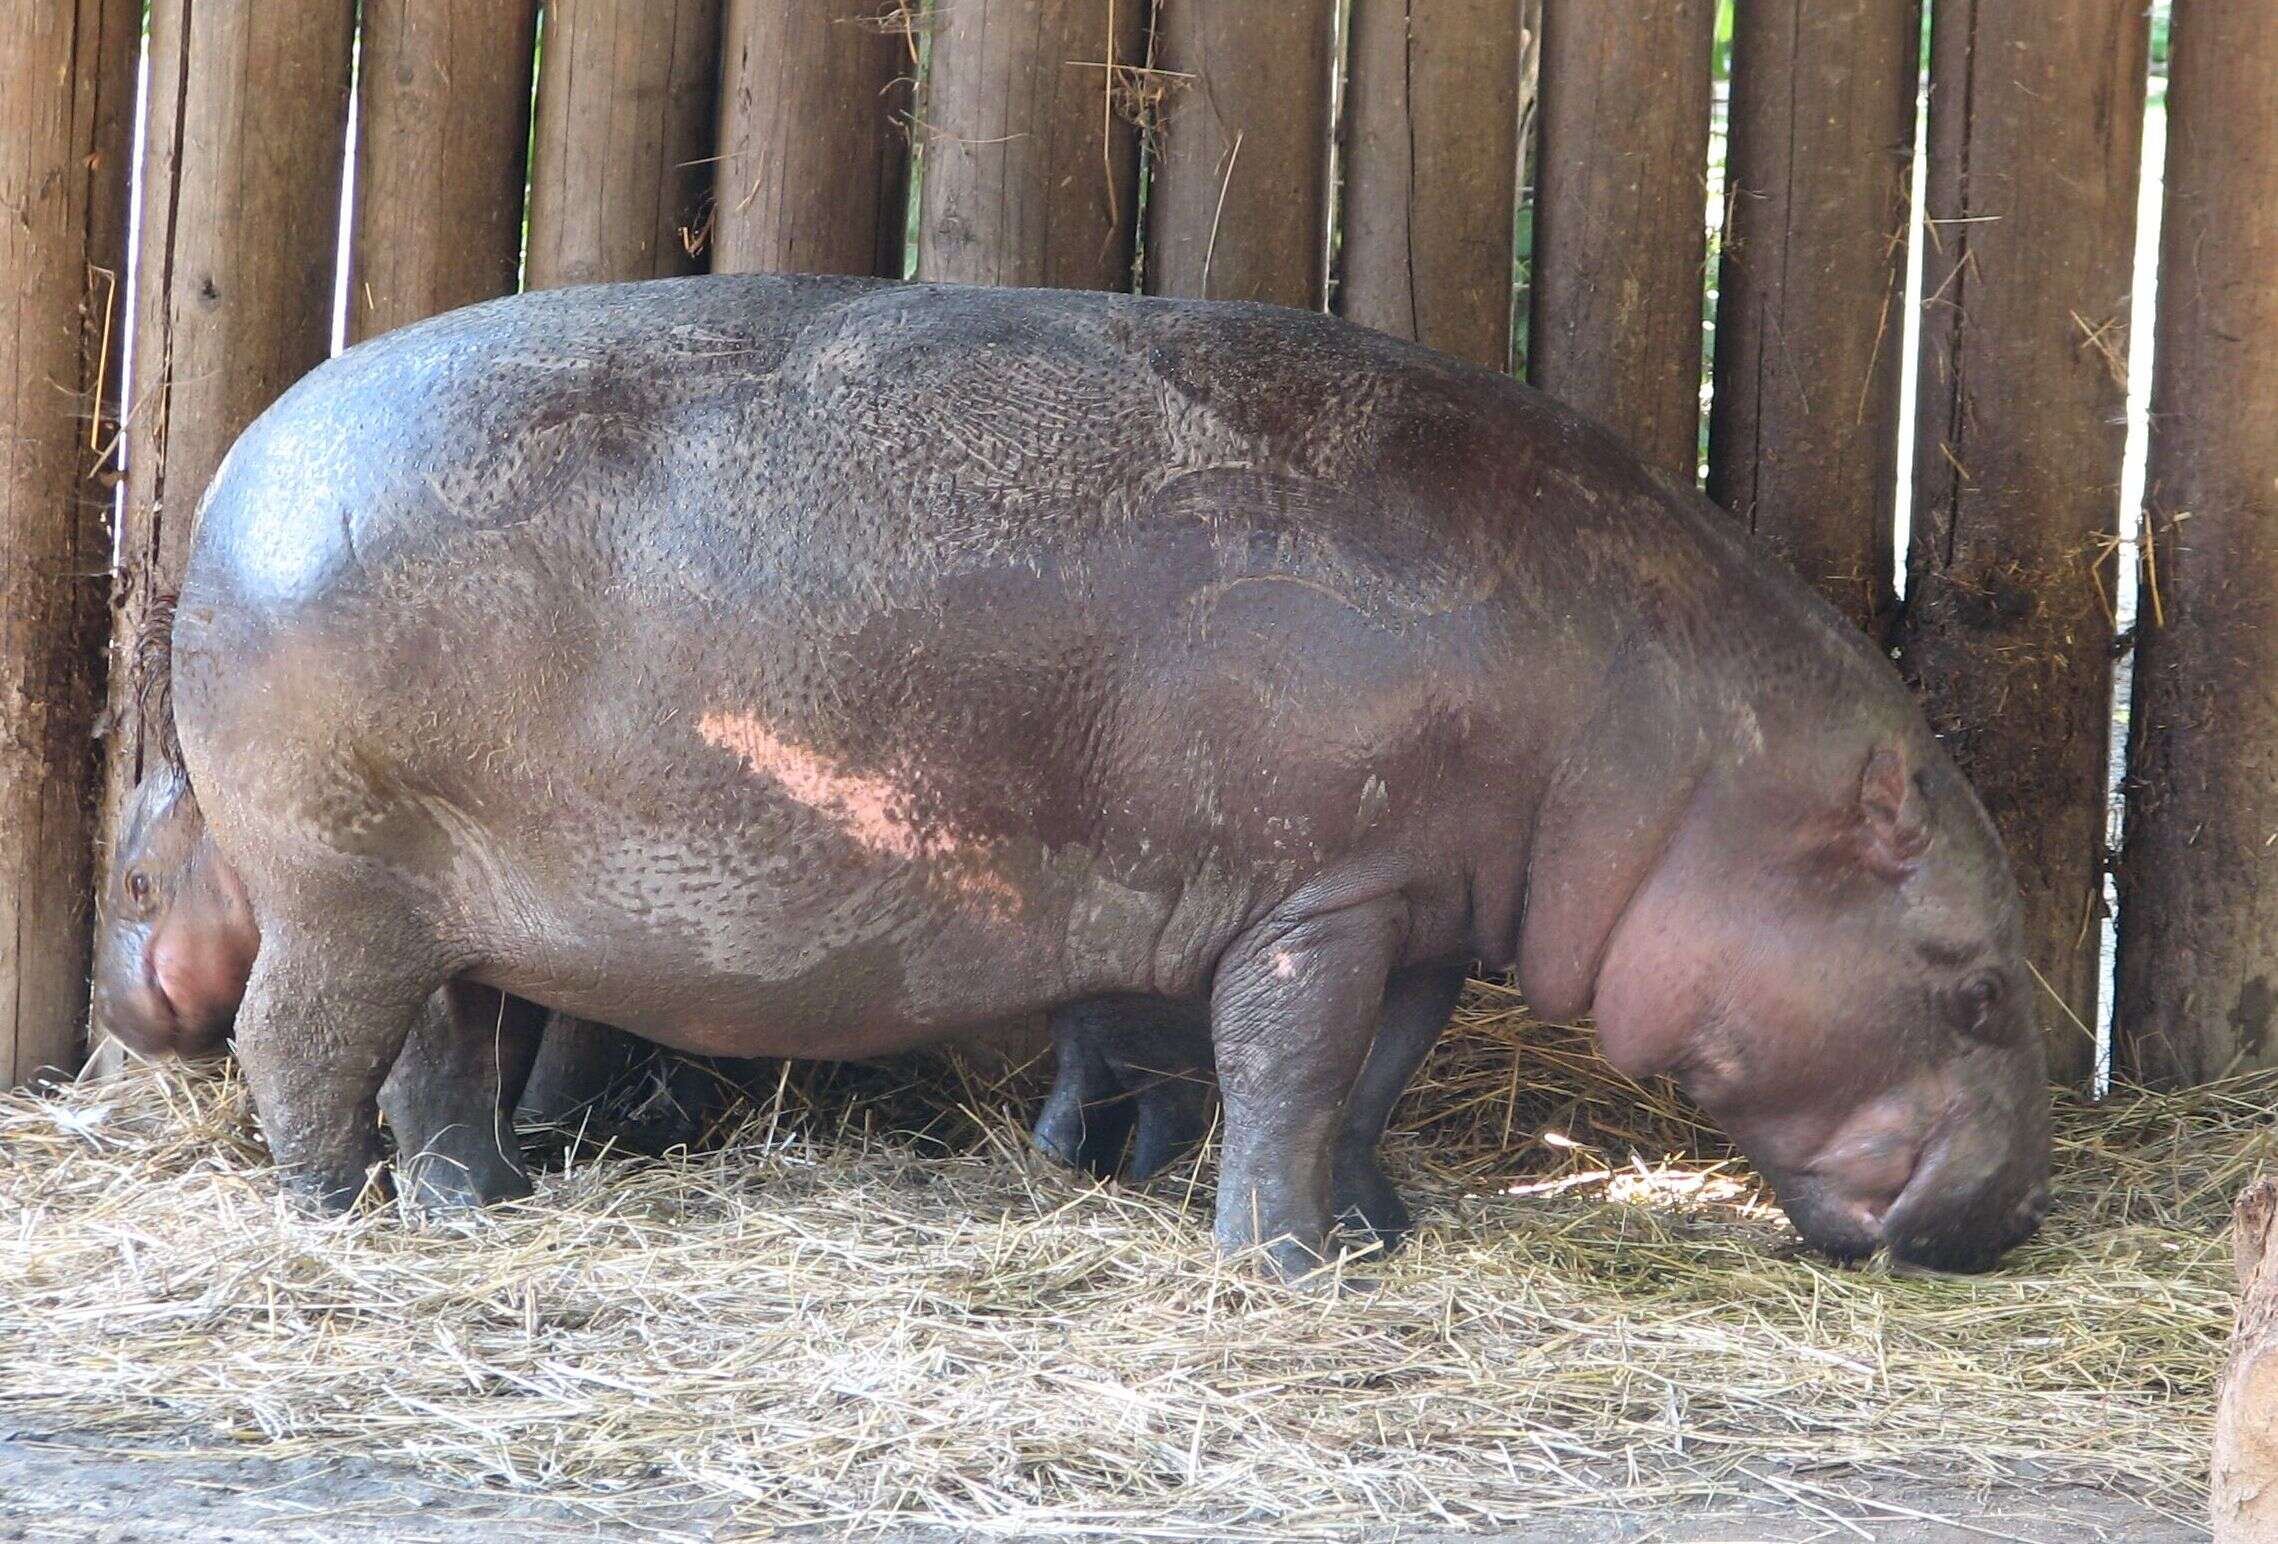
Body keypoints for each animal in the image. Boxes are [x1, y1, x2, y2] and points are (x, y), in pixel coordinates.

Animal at [129, 275, 2050, 1284]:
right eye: (1971, 984)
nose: (2007, 1216)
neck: (1681, 755)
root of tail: (234, 472)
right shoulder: (1315, 897)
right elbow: (1283, 1070)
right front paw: (1280, 1265)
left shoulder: (1413, 899)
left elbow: (1369, 1081)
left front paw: (1374, 1229)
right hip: (335, 889)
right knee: (301, 1049)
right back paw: (330, 1222)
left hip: (428, 900)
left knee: (435, 1054)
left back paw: (479, 1202)